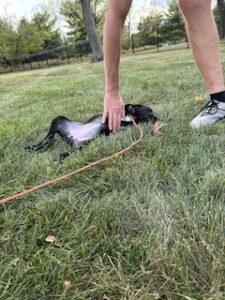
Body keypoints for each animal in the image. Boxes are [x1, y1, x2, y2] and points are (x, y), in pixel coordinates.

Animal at [25, 103, 161, 159]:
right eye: (148, 109)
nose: (154, 114)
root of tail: (72, 138)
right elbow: (127, 106)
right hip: (58, 120)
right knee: (47, 138)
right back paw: (32, 148)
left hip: (79, 146)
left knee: (54, 145)